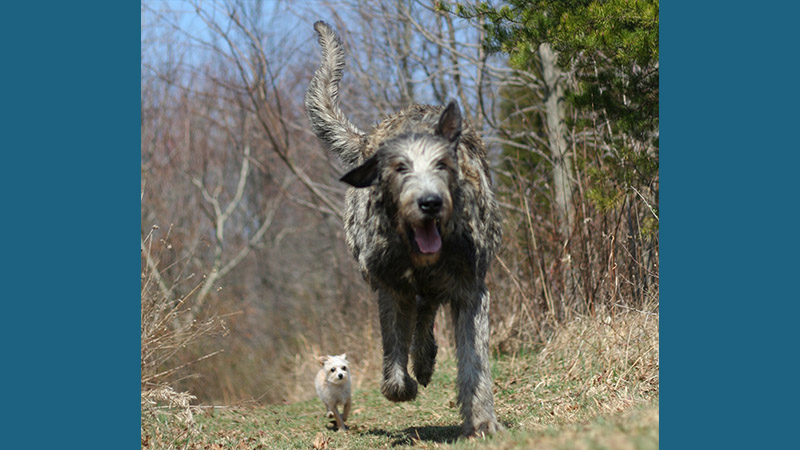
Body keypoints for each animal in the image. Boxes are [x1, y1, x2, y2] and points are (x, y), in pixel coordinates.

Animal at [304, 21, 504, 436]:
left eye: (443, 163)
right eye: (399, 168)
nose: (430, 203)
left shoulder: (471, 287)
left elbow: (474, 360)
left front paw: (481, 419)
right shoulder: (389, 285)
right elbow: (393, 352)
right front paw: (402, 384)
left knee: (428, 310)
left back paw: (425, 360)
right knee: (419, 313)